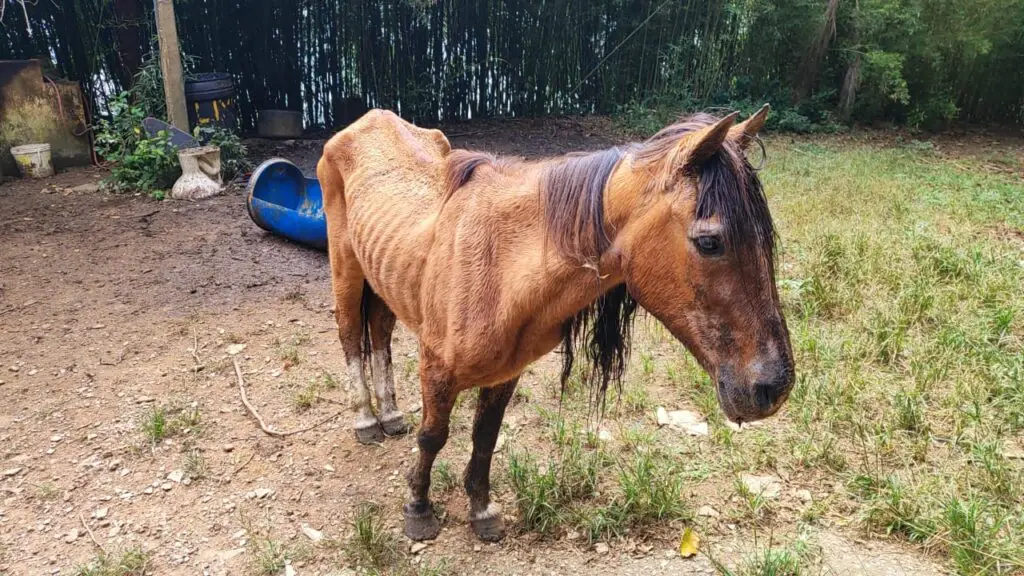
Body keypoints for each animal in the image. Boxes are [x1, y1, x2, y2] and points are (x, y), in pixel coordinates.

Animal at [316, 105, 794, 543]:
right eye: (710, 241)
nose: (773, 387)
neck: (500, 265)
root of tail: (368, 119)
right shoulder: (436, 368)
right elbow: (433, 436)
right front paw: (418, 509)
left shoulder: (504, 373)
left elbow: (484, 438)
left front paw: (482, 511)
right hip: (347, 270)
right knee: (350, 337)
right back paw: (367, 421)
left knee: (379, 334)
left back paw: (390, 414)